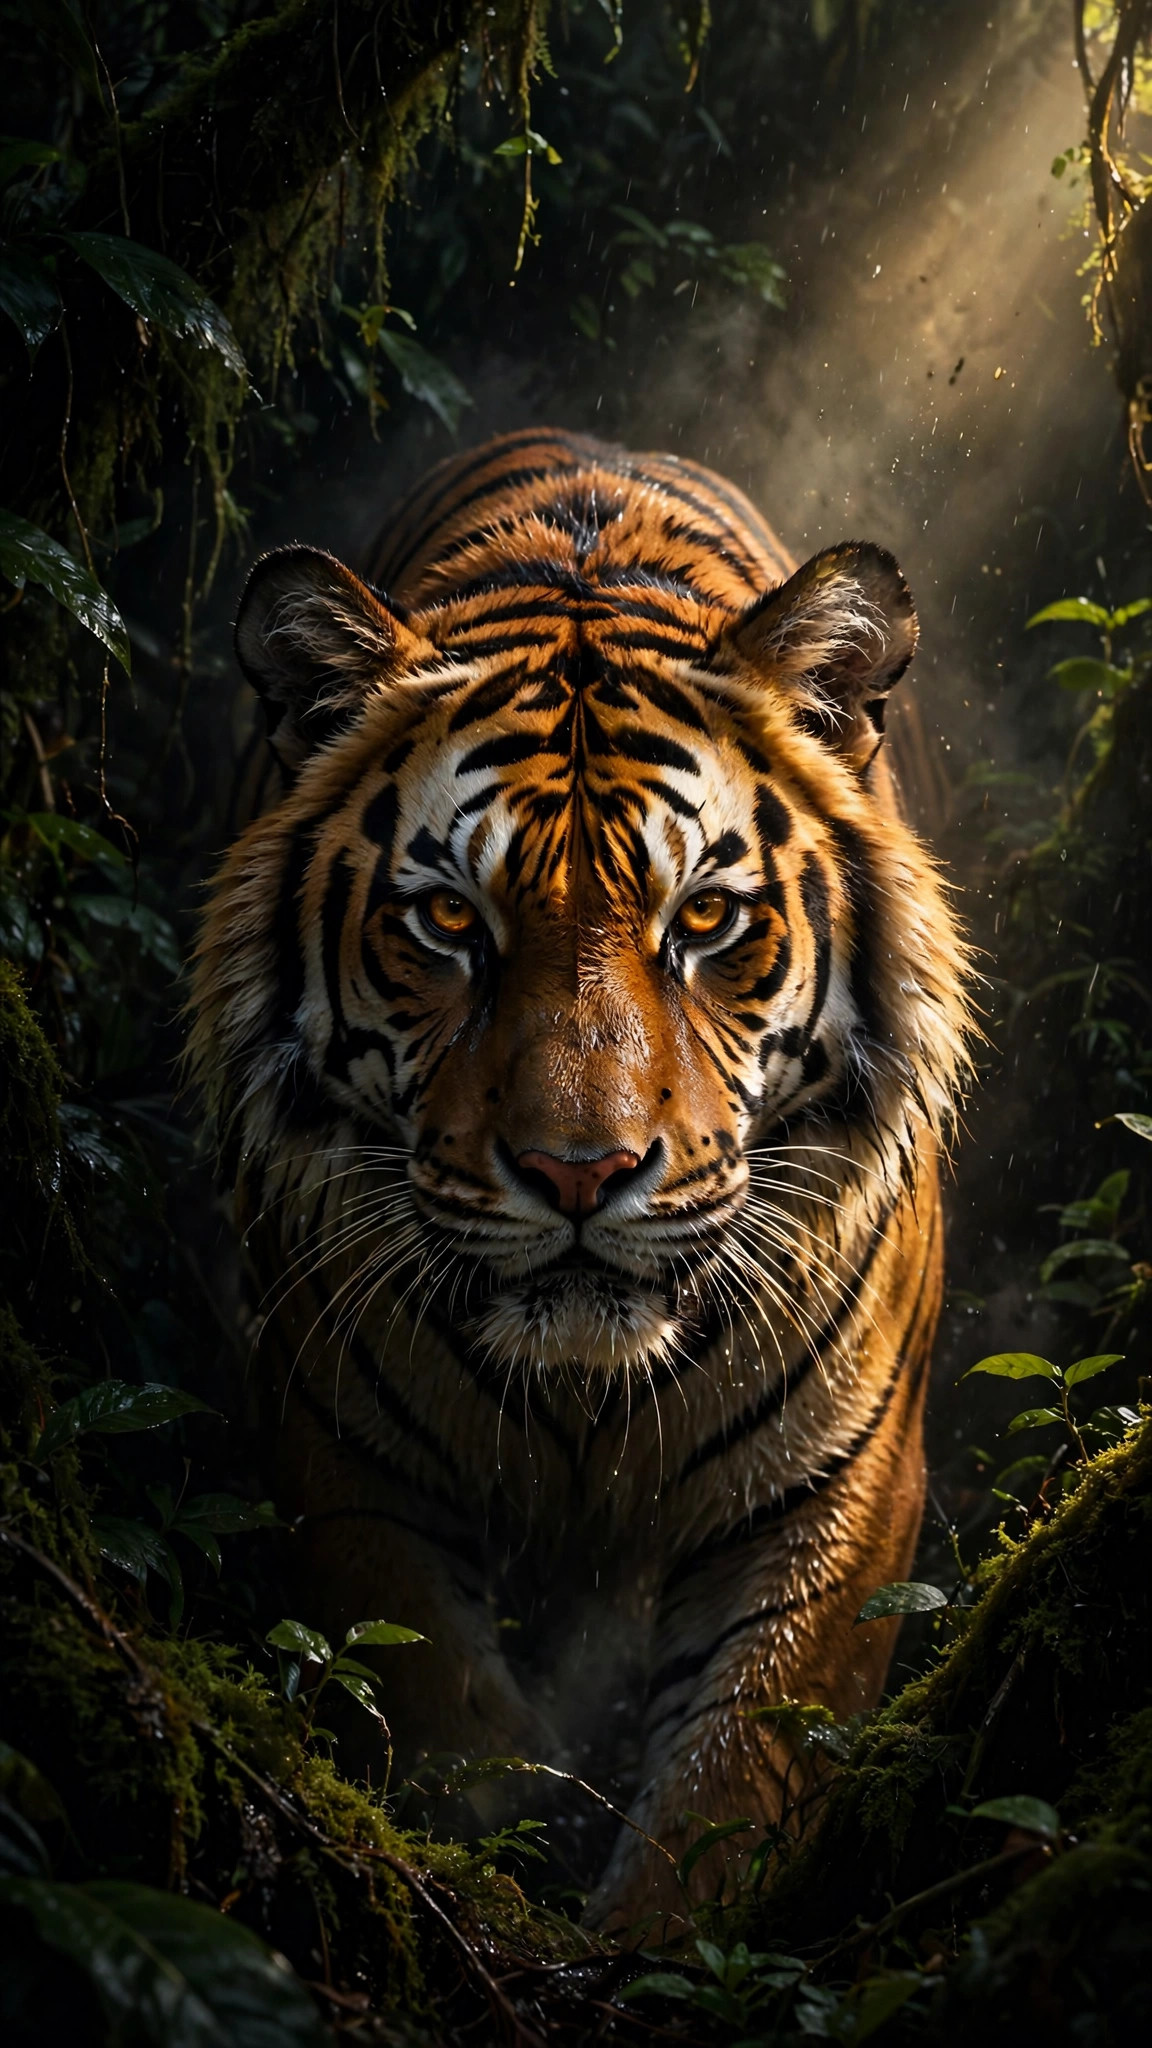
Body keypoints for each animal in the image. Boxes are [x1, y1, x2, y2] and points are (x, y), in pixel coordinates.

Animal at [189, 427, 972, 1931]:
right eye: (448, 919)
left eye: (706, 917)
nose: (579, 1171)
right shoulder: (347, 1465)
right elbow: (446, 1724)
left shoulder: (834, 1494)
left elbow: (726, 1804)